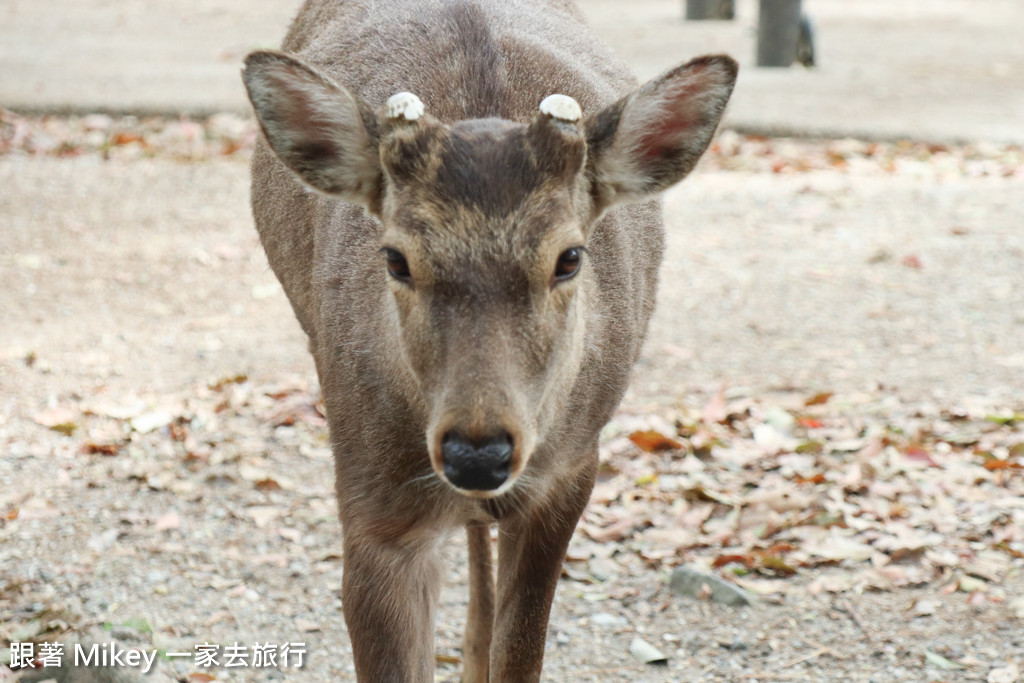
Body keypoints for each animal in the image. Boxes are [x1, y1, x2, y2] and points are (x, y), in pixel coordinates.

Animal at [239, 2, 737, 679]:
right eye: (395, 259)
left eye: (570, 257)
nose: (478, 452)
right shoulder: (369, 497)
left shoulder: (570, 472)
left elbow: (520, 651)